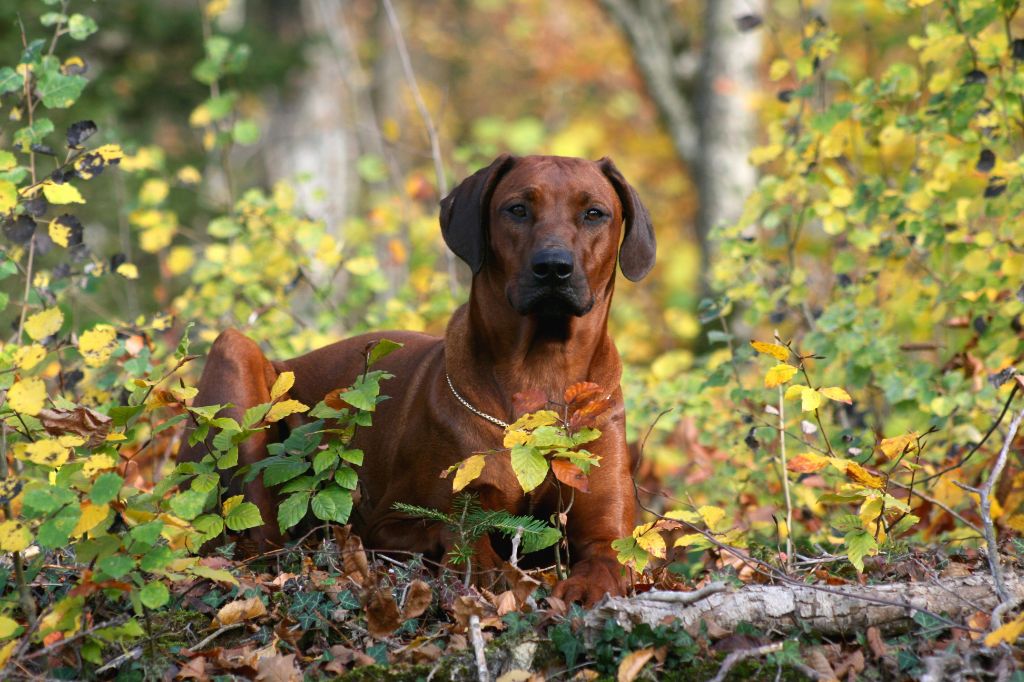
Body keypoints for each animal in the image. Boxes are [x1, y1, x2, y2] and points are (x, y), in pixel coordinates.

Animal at [177, 153, 655, 602]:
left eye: (594, 213)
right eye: (517, 209)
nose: (553, 267)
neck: (542, 372)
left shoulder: (608, 533)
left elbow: (608, 561)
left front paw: (584, 589)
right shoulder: (391, 521)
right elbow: (457, 532)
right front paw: (491, 570)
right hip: (235, 352)